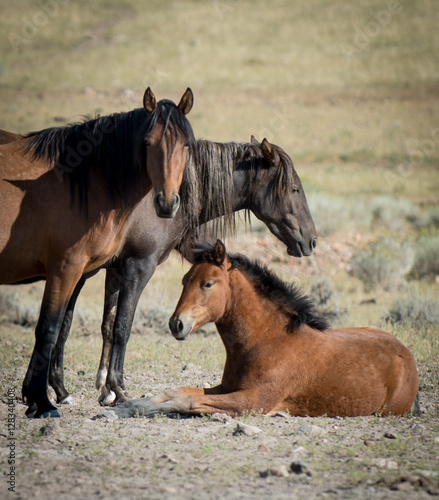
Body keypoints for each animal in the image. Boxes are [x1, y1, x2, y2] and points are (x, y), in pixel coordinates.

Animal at [0, 89, 196, 418]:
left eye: (185, 144)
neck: (85, 180)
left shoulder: (90, 271)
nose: (167, 203)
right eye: (147, 143)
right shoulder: (66, 268)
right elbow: (50, 329)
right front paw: (42, 401)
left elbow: (74, 326)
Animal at [105, 240, 422, 420]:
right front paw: (123, 403)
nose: (177, 324)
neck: (265, 341)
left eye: (208, 283)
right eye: (184, 281)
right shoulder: (228, 387)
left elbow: (187, 400)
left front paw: (125, 410)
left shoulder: (253, 400)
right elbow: (176, 390)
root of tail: (406, 355)